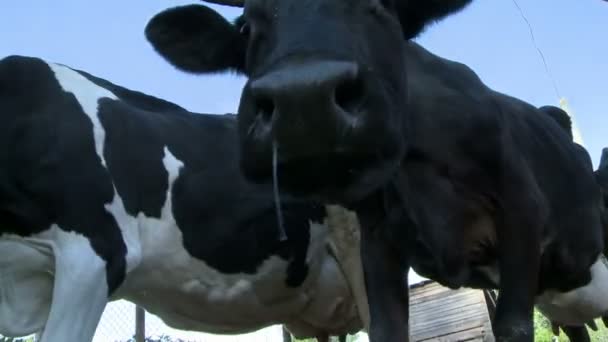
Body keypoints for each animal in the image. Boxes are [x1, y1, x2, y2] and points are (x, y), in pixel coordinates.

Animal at [141, 1, 608, 340]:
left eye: (378, 7)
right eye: (245, 28)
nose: (303, 100)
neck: (417, 173)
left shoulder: (521, 208)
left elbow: (512, 327)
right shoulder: (378, 239)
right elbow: (386, 330)